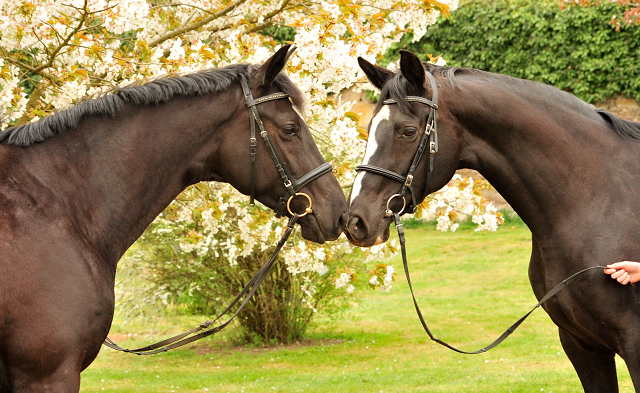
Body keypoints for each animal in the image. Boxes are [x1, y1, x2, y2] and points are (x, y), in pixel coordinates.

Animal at [348, 49, 640, 392]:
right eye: (370, 127)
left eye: (407, 132)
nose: (356, 220)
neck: (597, 199)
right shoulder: (582, 345)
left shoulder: (633, 345)